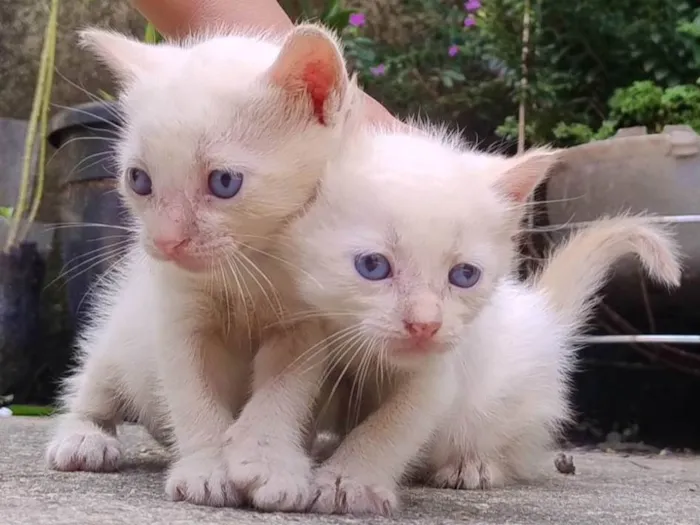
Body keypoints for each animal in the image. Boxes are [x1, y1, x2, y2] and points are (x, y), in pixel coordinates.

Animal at [44, 25, 358, 512]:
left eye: (224, 182)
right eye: (138, 179)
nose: (166, 241)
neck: (249, 263)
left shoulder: (307, 324)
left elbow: (285, 390)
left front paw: (269, 460)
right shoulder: (177, 317)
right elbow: (194, 395)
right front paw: (208, 468)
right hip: (118, 335)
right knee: (92, 383)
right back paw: (83, 437)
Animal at [282, 125, 680, 512]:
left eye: (465, 275)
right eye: (373, 265)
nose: (425, 325)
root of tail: (541, 312)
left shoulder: (440, 373)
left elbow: (395, 424)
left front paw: (348, 481)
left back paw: (472, 465)